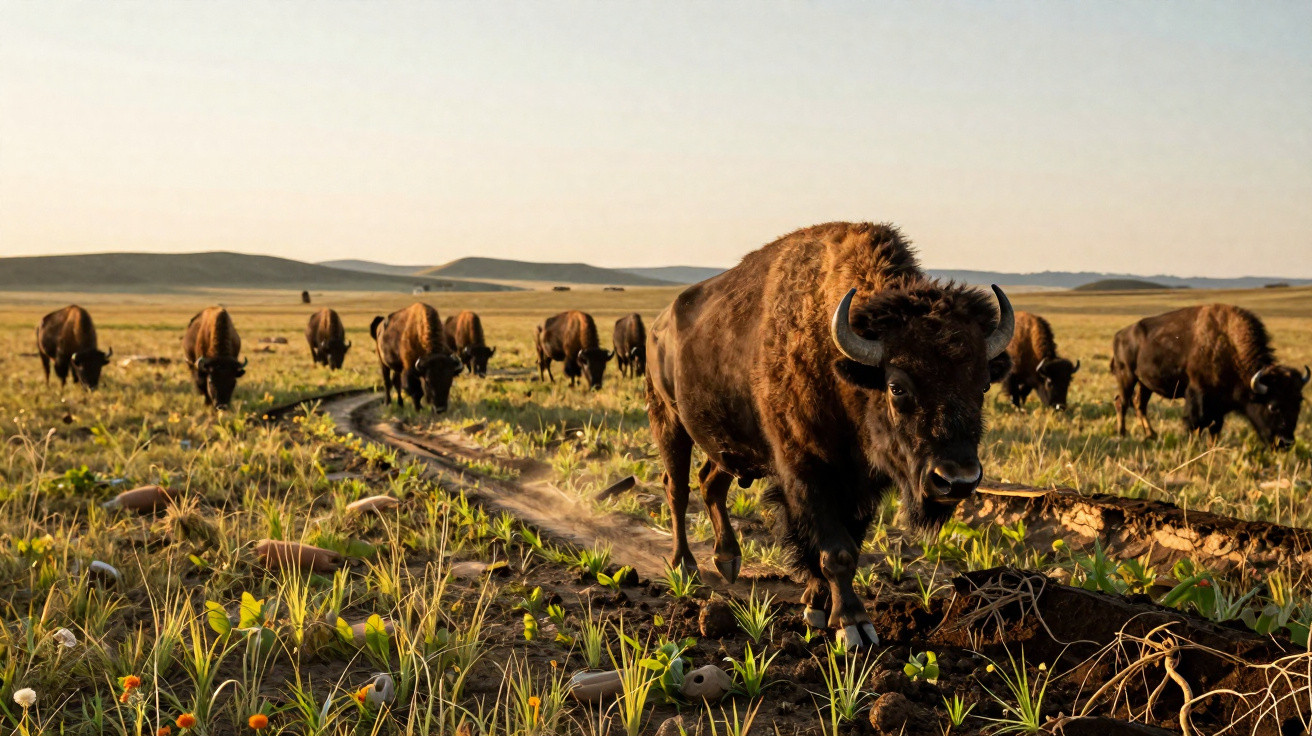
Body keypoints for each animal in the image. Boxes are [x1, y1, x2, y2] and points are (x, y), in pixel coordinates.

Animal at [646, 222, 1014, 648]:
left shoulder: (862, 482)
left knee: (710, 482)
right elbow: (836, 550)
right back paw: (684, 566)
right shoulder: (806, 470)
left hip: (727, 442)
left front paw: (818, 607)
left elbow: (847, 541)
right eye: (897, 387)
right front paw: (853, 625)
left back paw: (728, 561)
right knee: (677, 488)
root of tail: (659, 324)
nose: (957, 480)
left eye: (984, 385)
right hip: (668, 420)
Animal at [1112, 304, 1308, 447]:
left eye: (1298, 402)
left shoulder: (1220, 404)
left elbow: (1215, 427)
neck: (1228, 345)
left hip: (1145, 383)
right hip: (1127, 377)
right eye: (1273, 406)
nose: (1286, 442)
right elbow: (1196, 423)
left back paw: (1151, 435)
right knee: (1122, 402)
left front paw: (1211, 447)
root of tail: (1120, 334)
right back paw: (1122, 434)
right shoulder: (1198, 396)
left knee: (1139, 404)